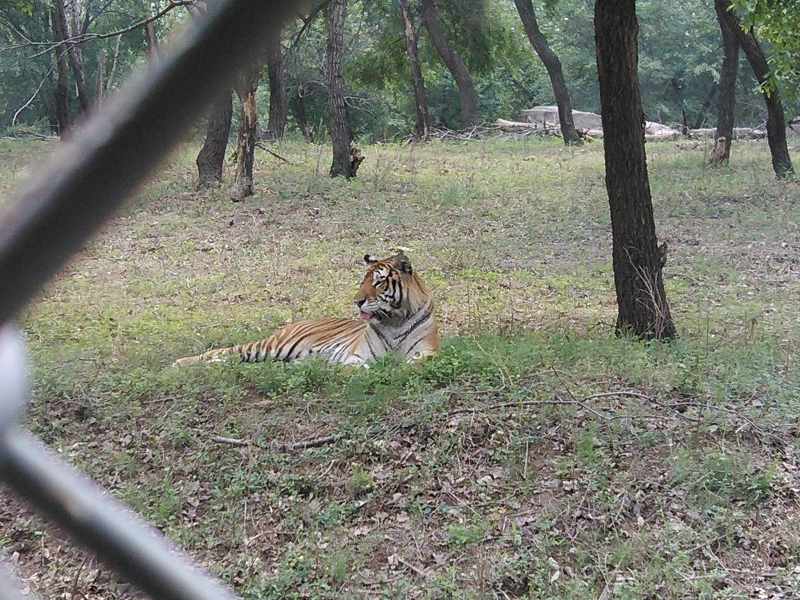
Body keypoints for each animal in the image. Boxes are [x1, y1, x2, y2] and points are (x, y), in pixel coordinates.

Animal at [173, 252, 440, 366]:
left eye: (378, 282)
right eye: (362, 281)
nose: (357, 301)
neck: (394, 319)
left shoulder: (427, 351)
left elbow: (415, 363)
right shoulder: (357, 356)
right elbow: (357, 368)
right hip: (272, 346)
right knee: (226, 351)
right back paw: (181, 363)